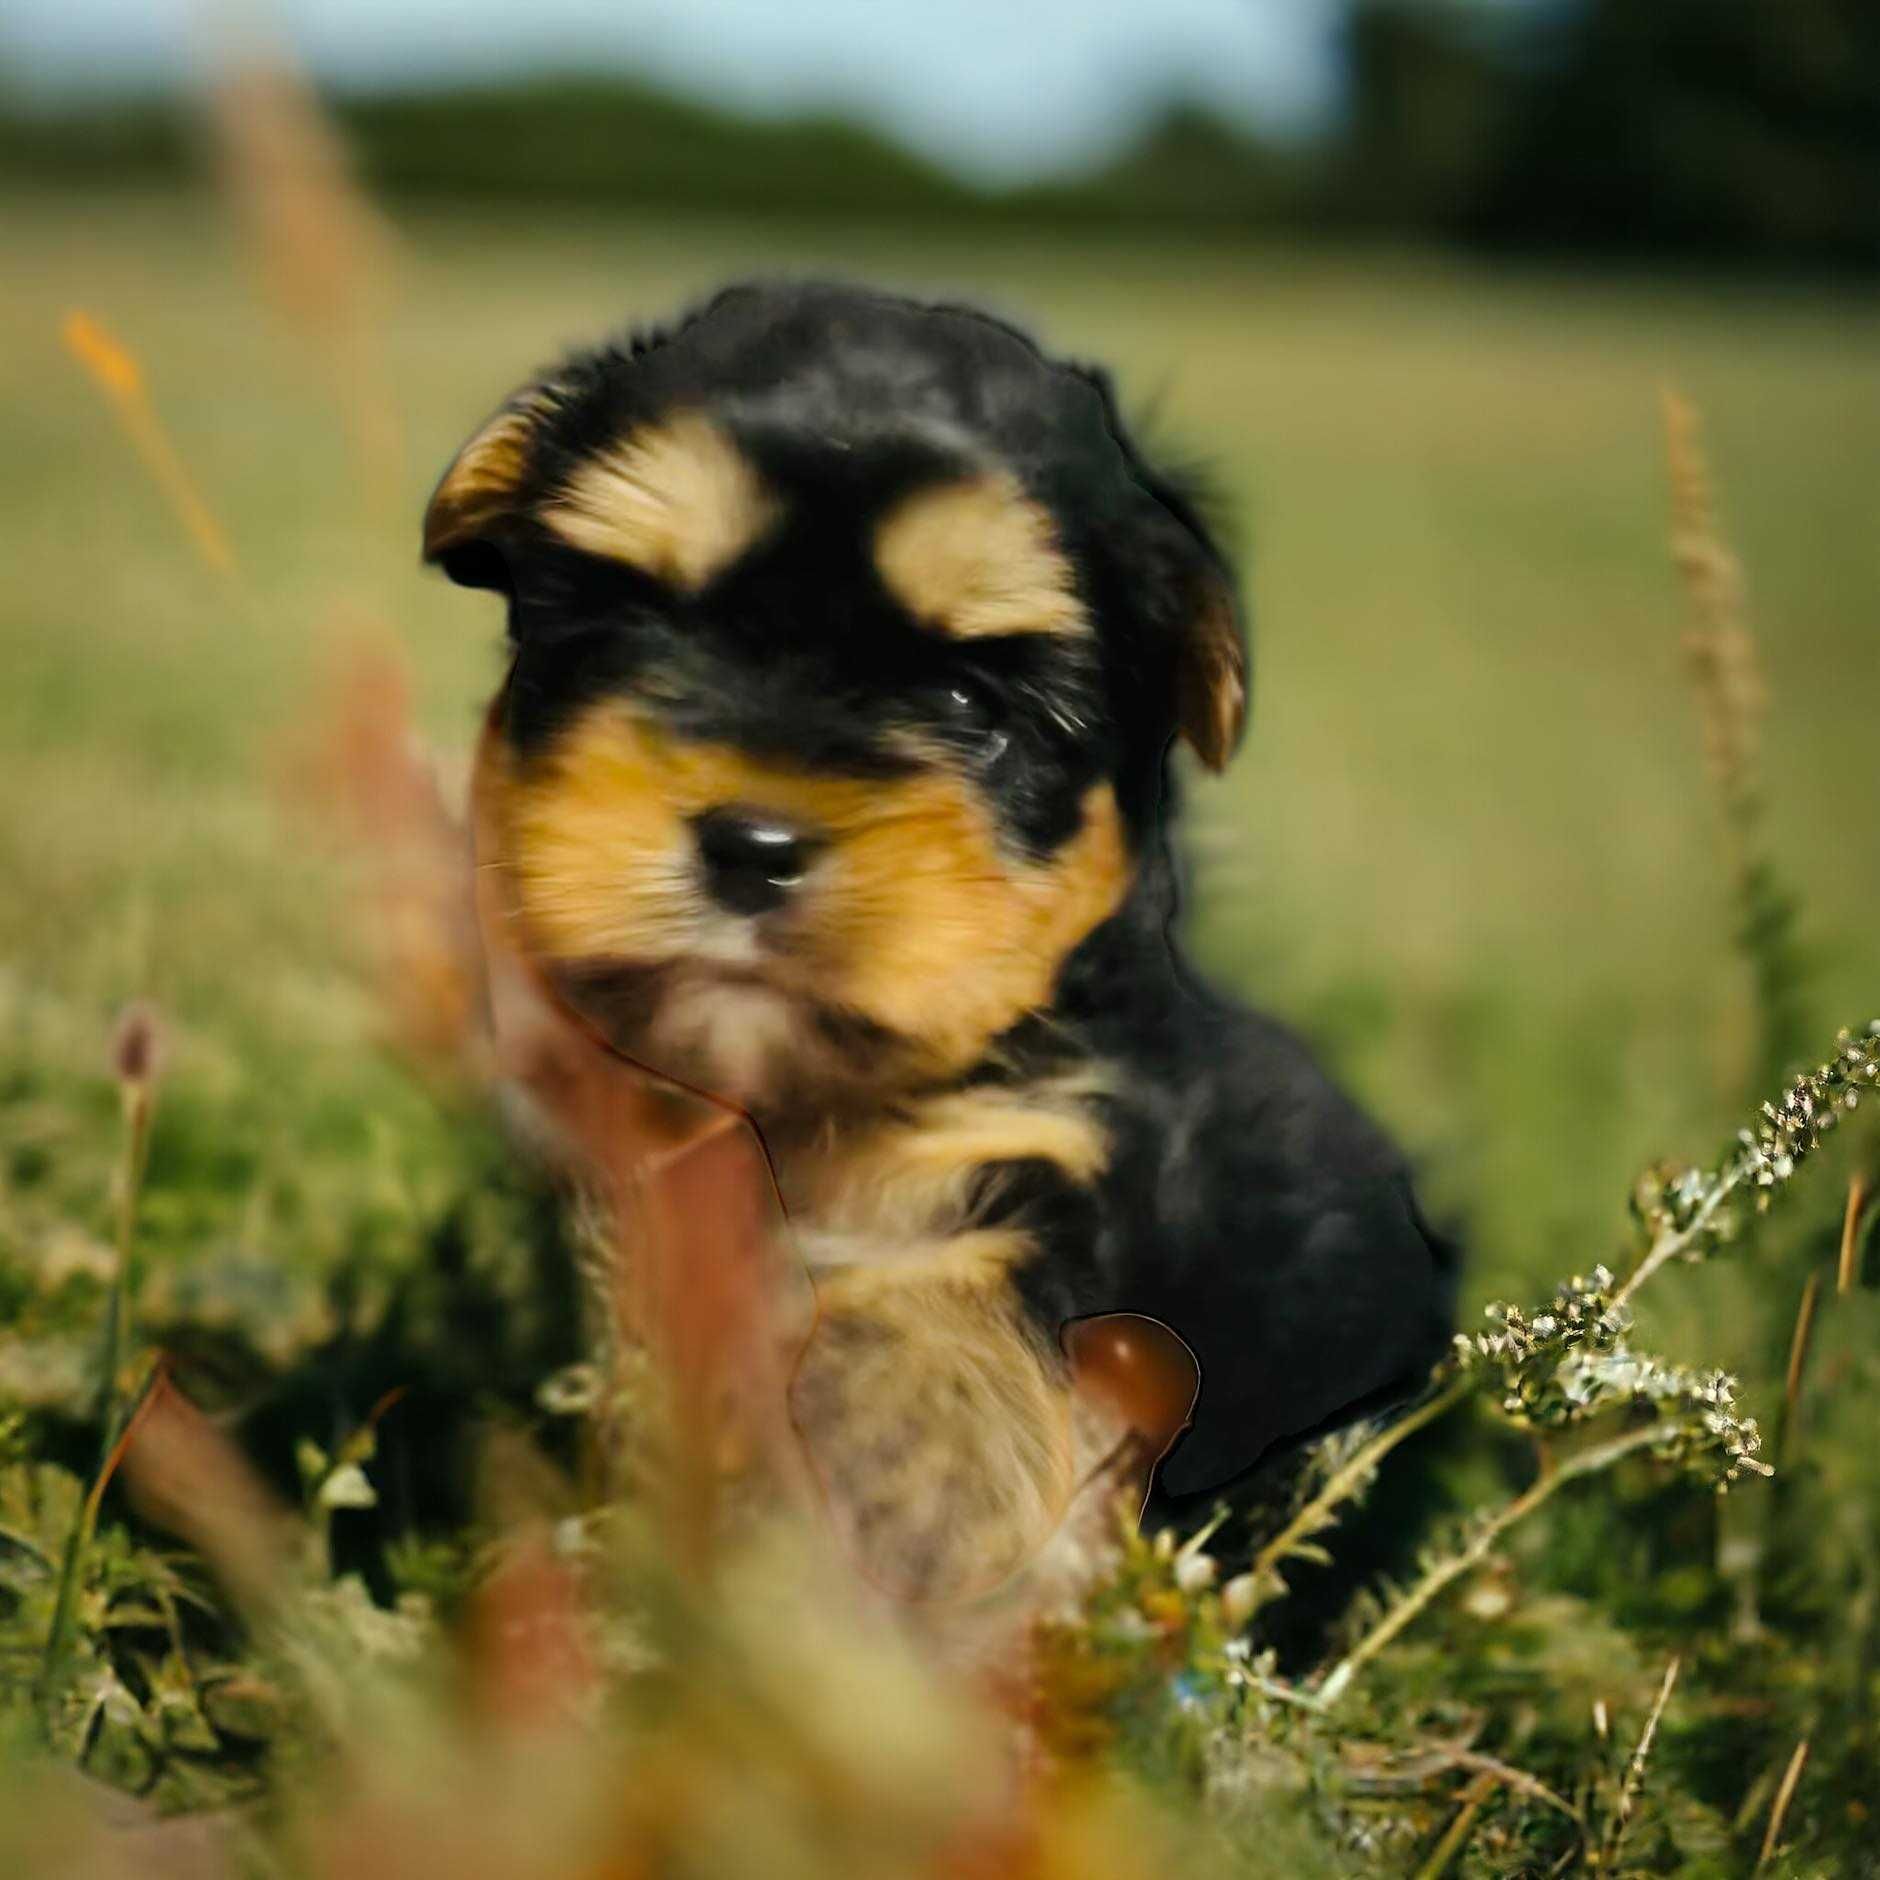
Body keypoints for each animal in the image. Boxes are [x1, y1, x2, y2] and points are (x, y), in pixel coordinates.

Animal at [426, 282, 1451, 1601]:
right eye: (633, 622)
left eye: (969, 701)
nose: (750, 842)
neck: (804, 1105)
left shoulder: (1057, 1138)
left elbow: (934, 1301)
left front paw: (908, 1477)